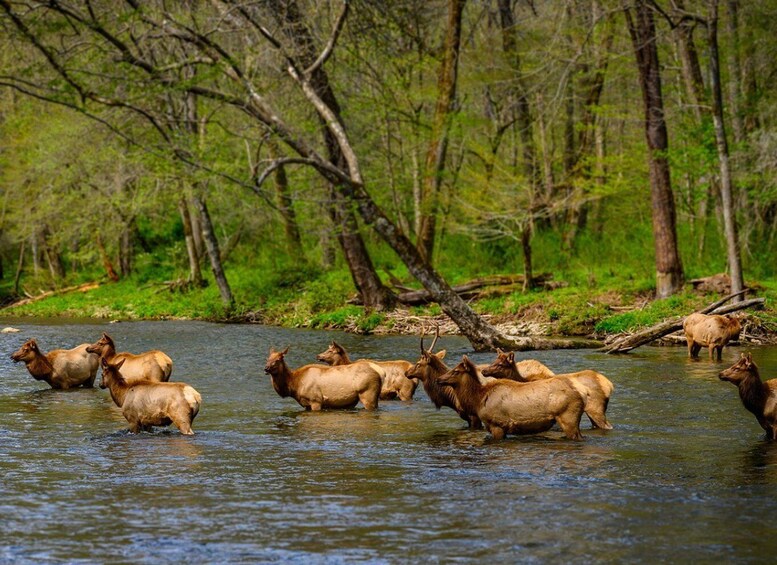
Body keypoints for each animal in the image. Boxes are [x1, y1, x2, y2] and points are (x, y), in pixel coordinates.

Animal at [436, 354, 584, 438]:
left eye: (456, 371)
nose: (438, 379)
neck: (478, 400)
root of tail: (580, 395)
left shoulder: (497, 425)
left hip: (568, 417)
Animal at [478, 348, 612, 428]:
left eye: (500, 364)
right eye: (493, 361)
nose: (484, 371)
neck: (522, 380)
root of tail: (609, 385)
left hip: (595, 408)